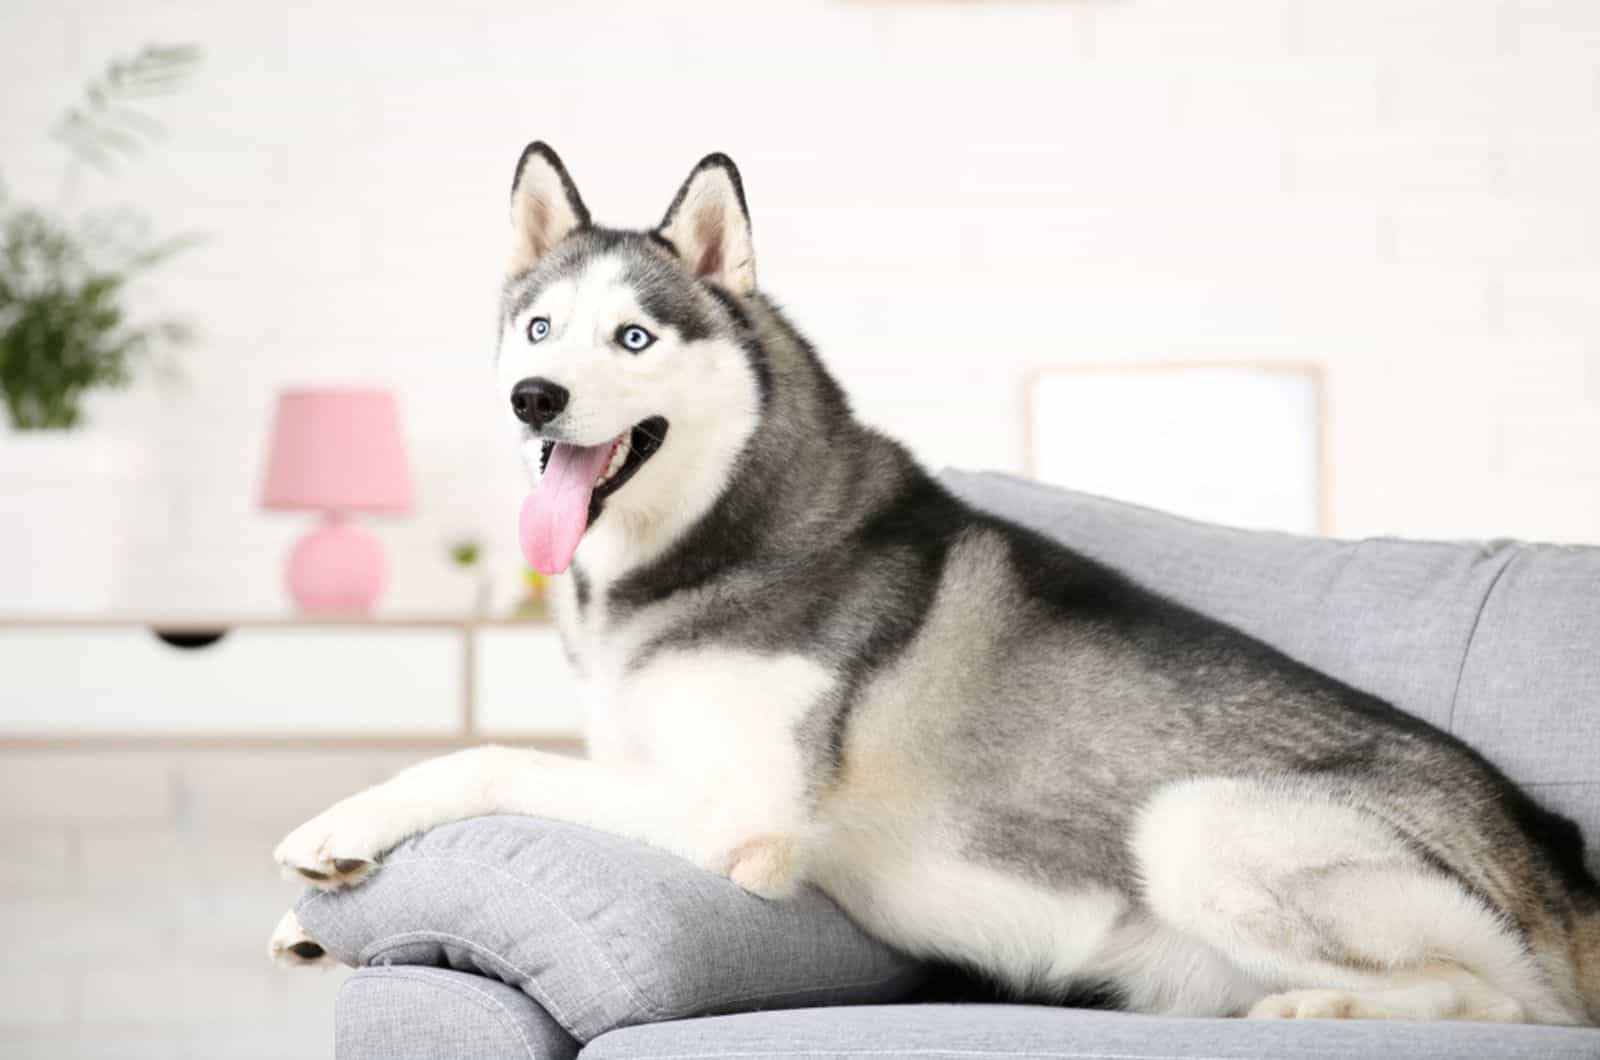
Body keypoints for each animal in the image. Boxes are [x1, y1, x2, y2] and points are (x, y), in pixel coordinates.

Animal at [272, 145, 1600, 1024]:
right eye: (540, 329)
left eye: (634, 339)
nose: (532, 399)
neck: (712, 540)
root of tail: (1560, 856)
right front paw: (313, 913)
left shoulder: (739, 817)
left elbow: (490, 760)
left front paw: (340, 824)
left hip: (1193, 823)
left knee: (1511, 1008)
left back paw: (1317, 1015)